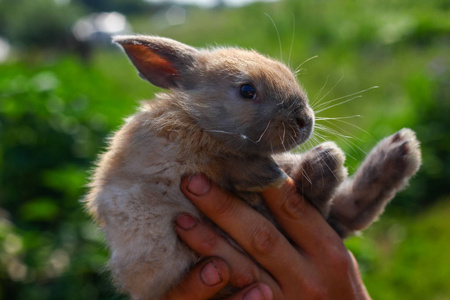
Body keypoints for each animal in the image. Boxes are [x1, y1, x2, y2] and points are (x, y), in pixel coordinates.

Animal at [84, 35, 422, 300]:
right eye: (247, 91)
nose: (305, 120)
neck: (199, 121)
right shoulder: (179, 163)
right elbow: (229, 165)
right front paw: (270, 174)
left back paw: (396, 152)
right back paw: (337, 162)